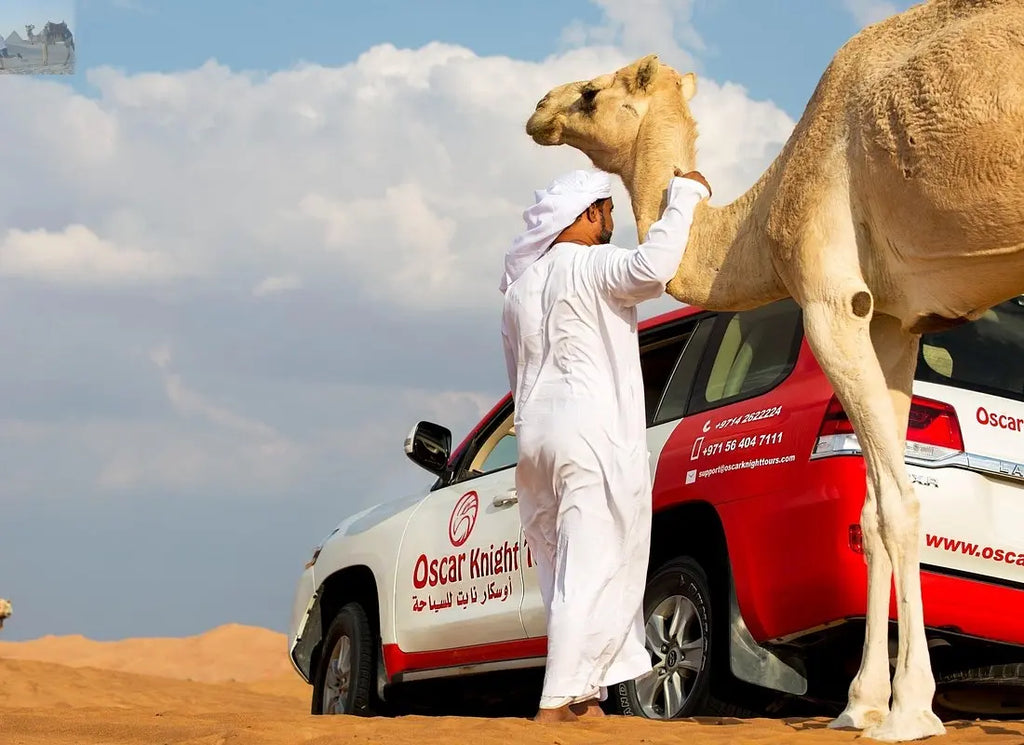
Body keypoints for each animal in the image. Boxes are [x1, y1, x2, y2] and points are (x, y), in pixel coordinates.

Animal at [524, 0, 1024, 741]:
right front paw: (858, 704)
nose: (537, 108)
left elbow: (898, 503)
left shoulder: (829, 299)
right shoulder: (894, 322)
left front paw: (908, 711)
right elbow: (871, 511)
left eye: (590, 92)